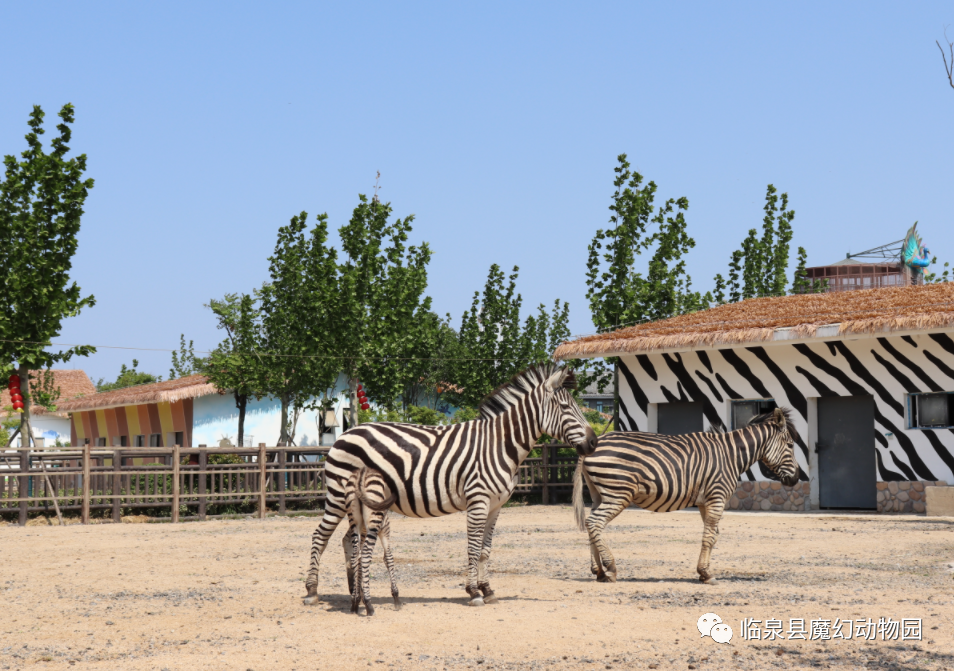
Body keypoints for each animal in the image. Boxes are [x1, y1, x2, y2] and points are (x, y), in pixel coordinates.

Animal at [342, 470, 402, 616]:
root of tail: (361, 475)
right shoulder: (385, 530)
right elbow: (388, 558)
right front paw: (396, 597)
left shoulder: (363, 534)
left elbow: (358, 564)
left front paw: (358, 597)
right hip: (374, 524)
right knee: (365, 557)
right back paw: (369, 606)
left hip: (354, 522)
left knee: (355, 558)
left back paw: (354, 603)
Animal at [568, 406, 800, 584]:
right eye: (790, 445)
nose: (796, 478)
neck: (731, 456)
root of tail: (595, 442)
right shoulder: (717, 497)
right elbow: (709, 536)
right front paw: (706, 574)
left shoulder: (705, 502)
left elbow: (713, 536)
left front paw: (704, 572)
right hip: (618, 493)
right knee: (595, 523)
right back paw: (611, 568)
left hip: (599, 494)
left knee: (591, 524)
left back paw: (599, 571)